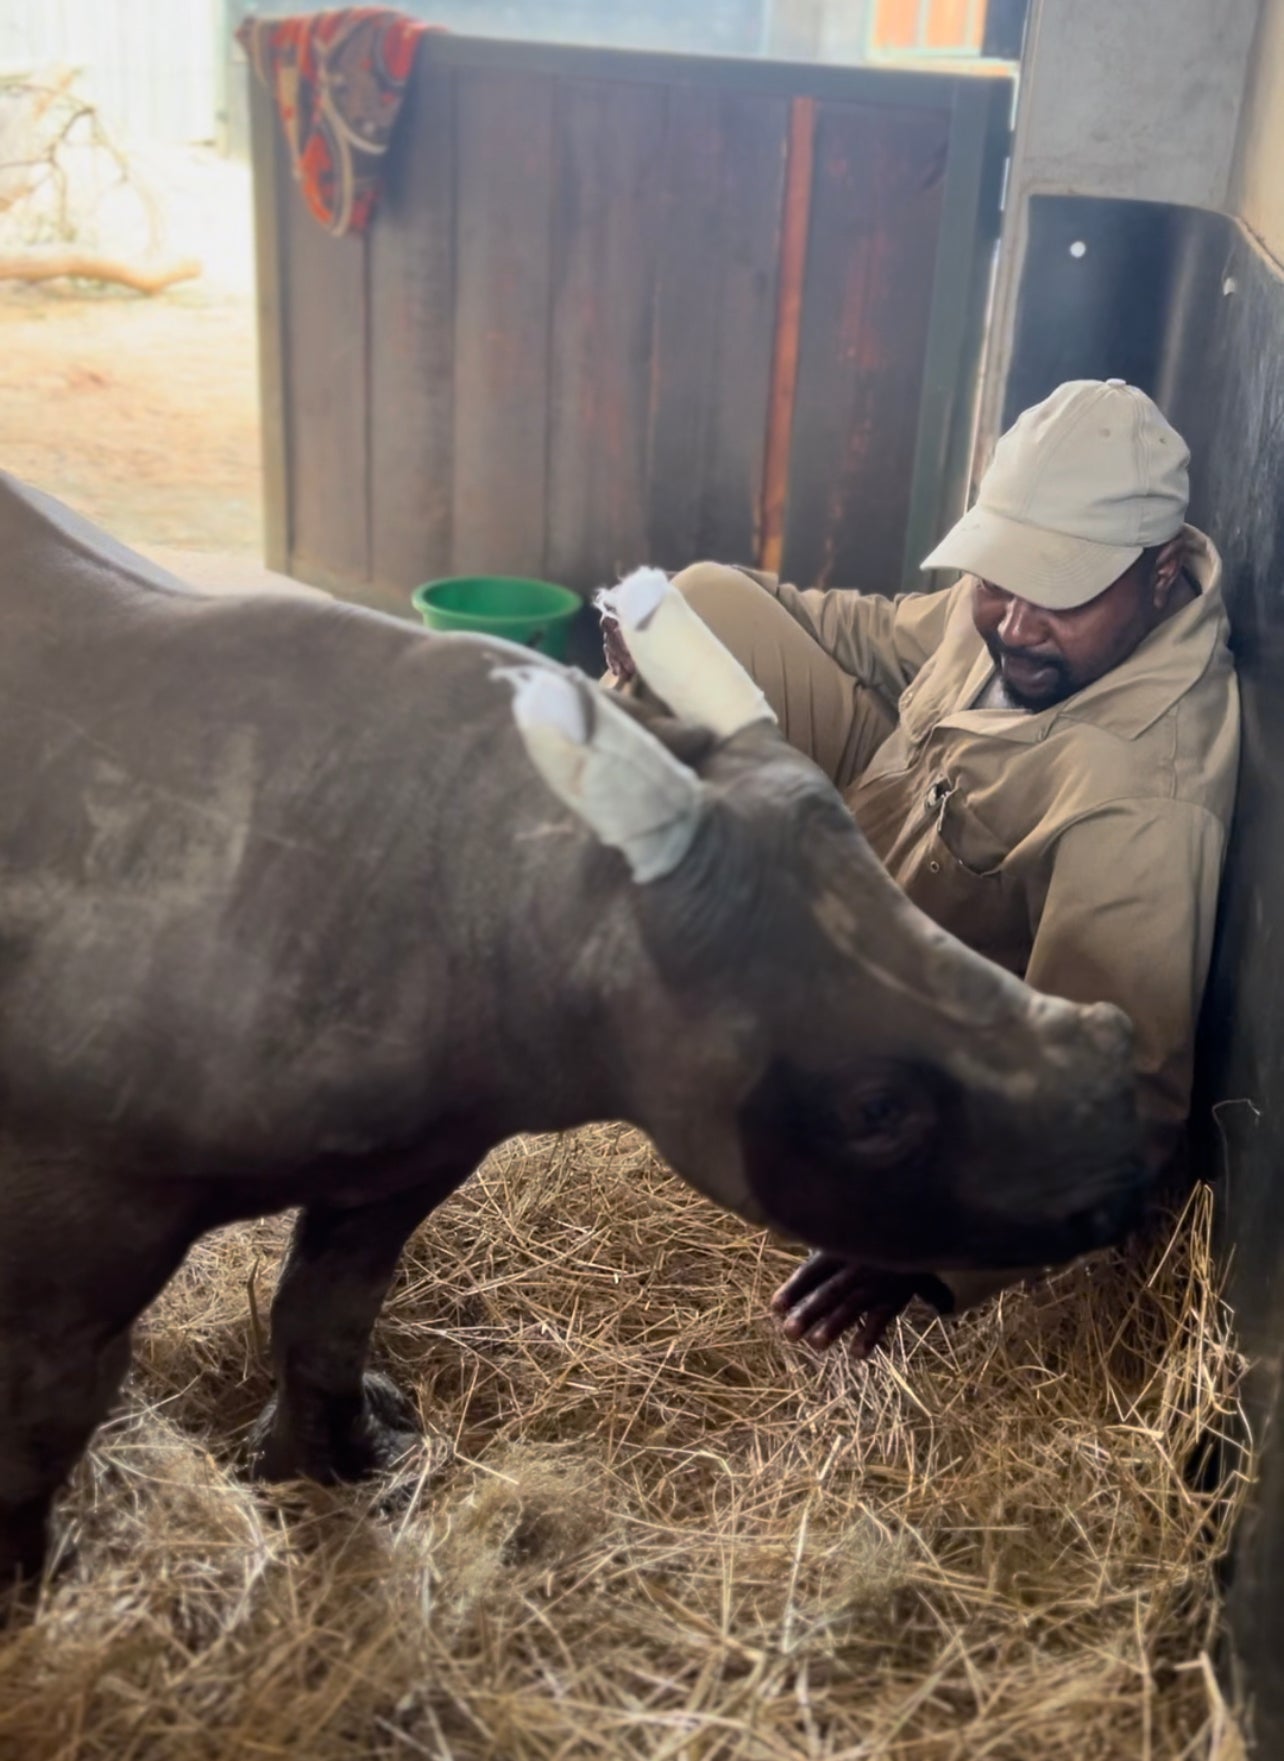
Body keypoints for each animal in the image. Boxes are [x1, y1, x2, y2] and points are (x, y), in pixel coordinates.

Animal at [0, 474, 1143, 1579]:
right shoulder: (81, 1186)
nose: (1131, 1149)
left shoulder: (427, 1131)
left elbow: (327, 1310)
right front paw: (33, 1588)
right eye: (873, 1110)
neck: (544, 893)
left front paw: (339, 1468)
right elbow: (45, 1407)